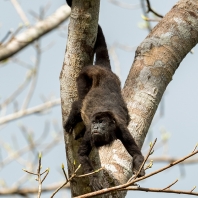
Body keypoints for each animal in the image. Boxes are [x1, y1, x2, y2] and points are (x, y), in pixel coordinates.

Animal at [64, 0, 145, 190]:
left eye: (101, 123)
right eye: (95, 123)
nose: (96, 127)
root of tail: (102, 69)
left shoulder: (122, 129)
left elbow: (136, 153)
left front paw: (139, 168)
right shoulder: (90, 134)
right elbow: (83, 155)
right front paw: (94, 179)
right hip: (84, 76)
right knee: (79, 103)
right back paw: (70, 121)